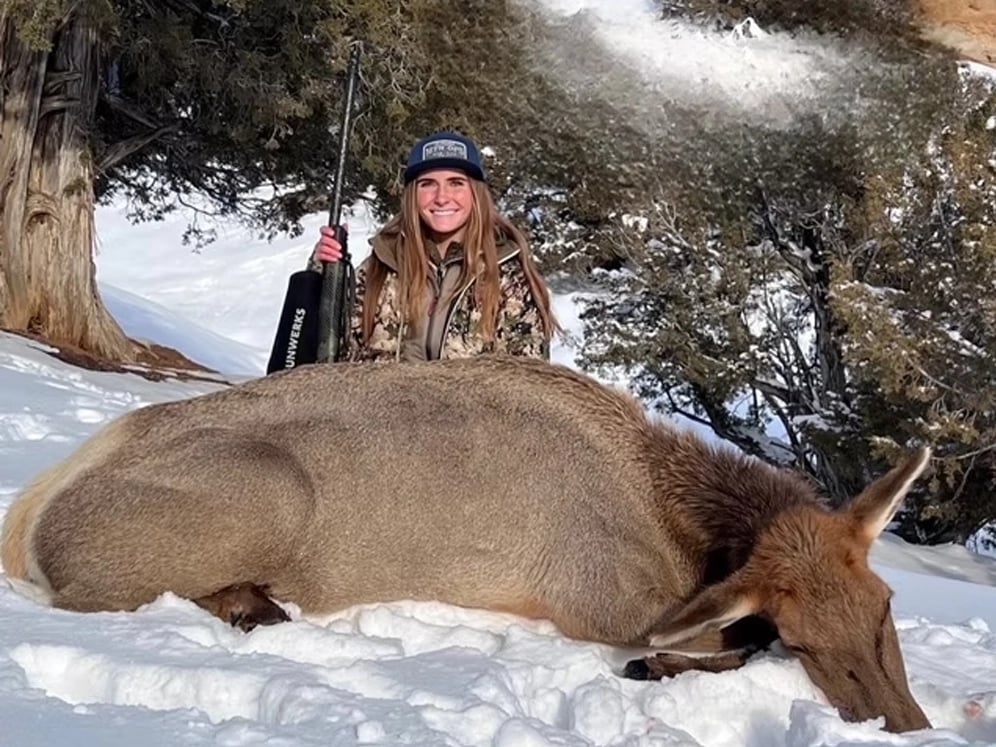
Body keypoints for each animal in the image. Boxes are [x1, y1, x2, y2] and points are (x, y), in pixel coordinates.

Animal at [0, 355, 932, 733]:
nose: (910, 725)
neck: (680, 525)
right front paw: (656, 665)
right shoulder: (606, 603)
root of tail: (30, 513)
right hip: (271, 492)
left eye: (886, 608)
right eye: (804, 641)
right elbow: (716, 644)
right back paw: (252, 604)